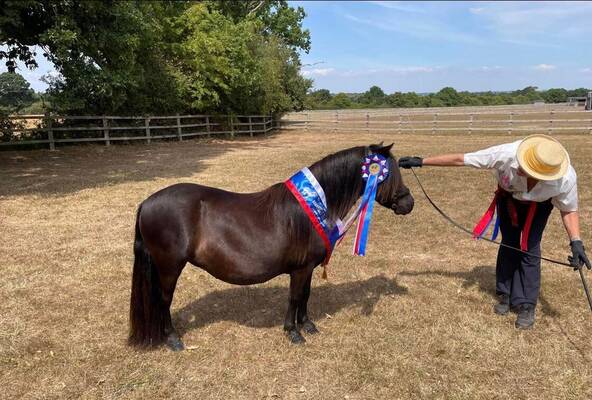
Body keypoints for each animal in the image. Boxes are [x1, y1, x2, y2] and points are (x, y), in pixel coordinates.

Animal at [127, 144, 414, 350]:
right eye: (390, 173)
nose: (408, 203)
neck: (314, 205)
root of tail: (147, 202)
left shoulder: (308, 268)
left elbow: (306, 295)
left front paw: (307, 325)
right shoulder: (300, 269)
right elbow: (295, 297)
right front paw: (293, 332)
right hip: (169, 267)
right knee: (163, 300)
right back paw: (173, 339)